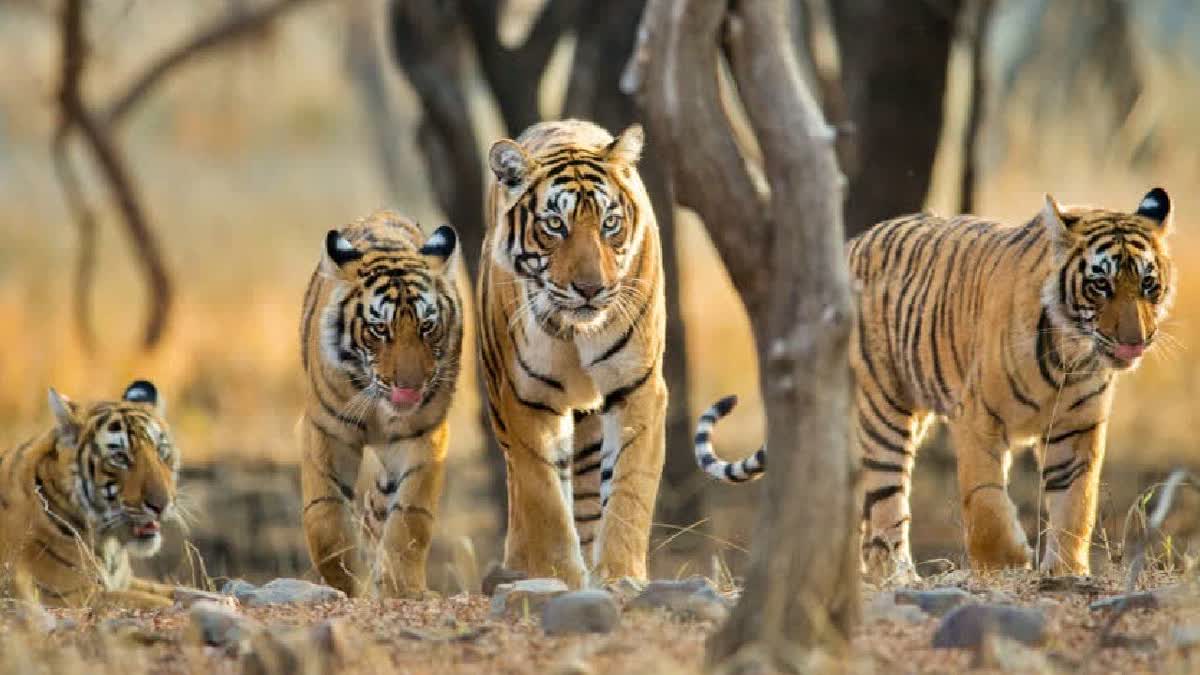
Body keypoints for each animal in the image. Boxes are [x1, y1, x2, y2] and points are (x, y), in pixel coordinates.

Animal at [0, 380, 182, 609]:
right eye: (120, 457)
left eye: (161, 451)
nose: (162, 505)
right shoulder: (71, 596)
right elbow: (161, 602)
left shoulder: (125, 582)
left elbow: (186, 592)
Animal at [298, 210, 462, 599]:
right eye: (379, 329)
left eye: (427, 326)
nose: (410, 387)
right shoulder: (326, 431)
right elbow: (325, 520)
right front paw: (345, 585)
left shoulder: (423, 436)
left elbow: (409, 519)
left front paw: (402, 590)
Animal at [479, 119, 667, 588]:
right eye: (554, 225)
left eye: (610, 223)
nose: (590, 288)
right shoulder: (527, 399)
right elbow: (543, 498)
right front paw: (558, 577)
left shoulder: (637, 387)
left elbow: (628, 490)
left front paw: (620, 576)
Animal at [694, 188, 1175, 581]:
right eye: (1101, 285)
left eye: (1148, 285)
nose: (1134, 341)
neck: (1070, 354)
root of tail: (849, 246)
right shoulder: (978, 417)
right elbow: (984, 500)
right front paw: (1006, 563)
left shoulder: (1077, 428)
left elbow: (1076, 502)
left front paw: (1067, 571)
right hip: (883, 413)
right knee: (886, 508)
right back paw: (899, 577)